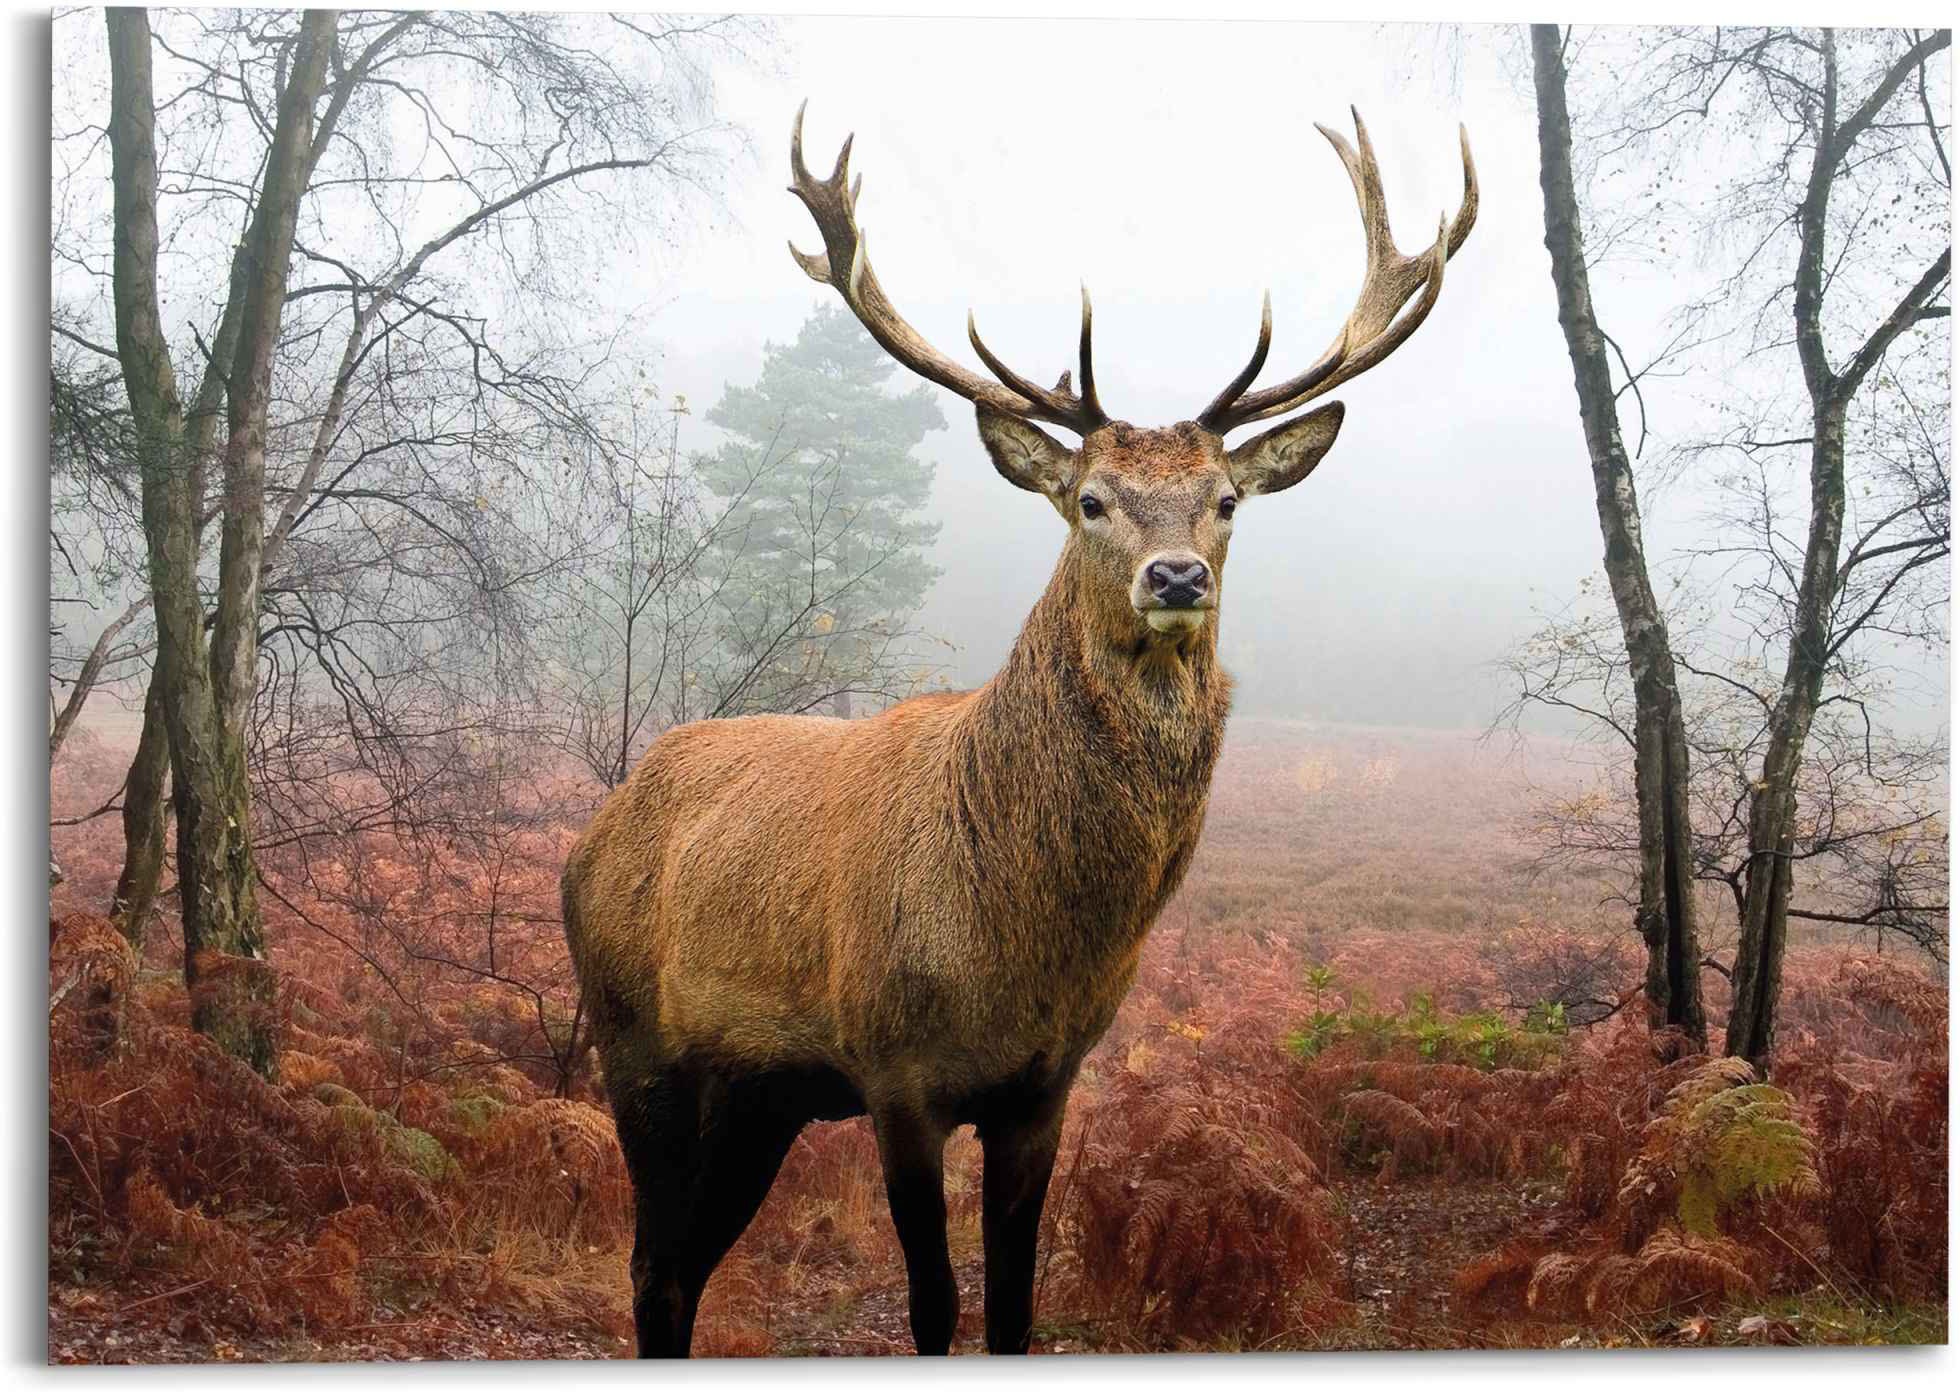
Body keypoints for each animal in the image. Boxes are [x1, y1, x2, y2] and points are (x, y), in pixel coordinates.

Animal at [561, 101, 1477, 1357]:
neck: (1018, 942)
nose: (1176, 576)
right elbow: (933, 1308)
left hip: (759, 1095)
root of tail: (591, 834)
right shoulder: (894, 1072)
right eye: (1089, 499)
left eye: (1226, 502)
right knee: (653, 1262)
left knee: (684, 1267)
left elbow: (1014, 1309)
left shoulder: (1043, 1087)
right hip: (634, 1042)